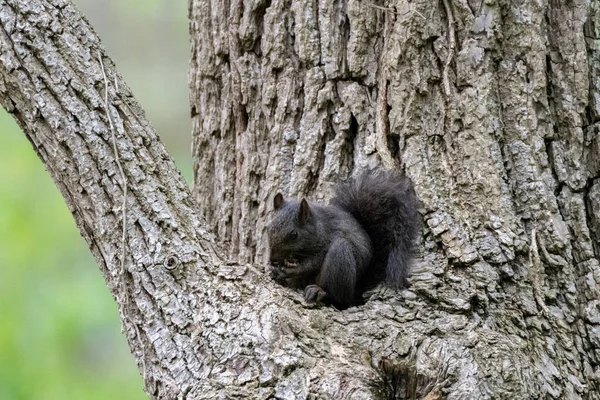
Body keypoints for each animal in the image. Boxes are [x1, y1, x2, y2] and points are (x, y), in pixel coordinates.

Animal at [270, 169, 420, 310]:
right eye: (269, 227)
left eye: (294, 234)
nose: (273, 259)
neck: (317, 228)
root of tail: (357, 289)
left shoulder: (325, 243)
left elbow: (311, 264)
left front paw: (286, 271)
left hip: (341, 256)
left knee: (340, 299)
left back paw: (320, 292)